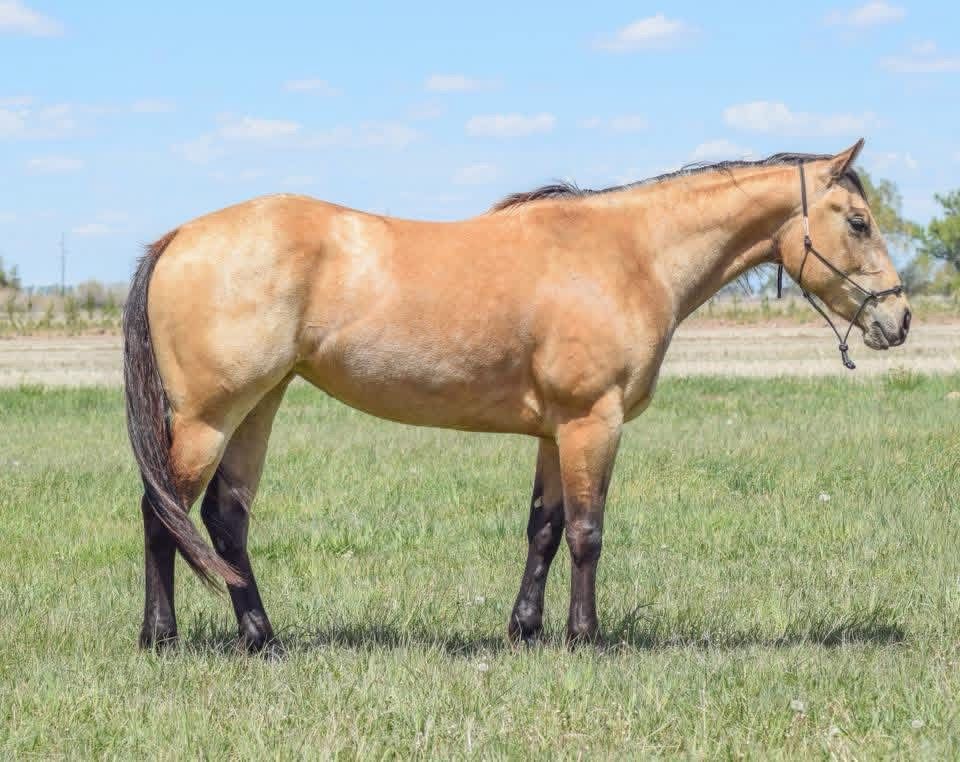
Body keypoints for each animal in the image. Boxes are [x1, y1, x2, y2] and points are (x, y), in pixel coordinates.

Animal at [124, 139, 911, 651]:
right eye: (858, 221)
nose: (898, 319)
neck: (629, 255)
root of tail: (179, 236)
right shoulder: (594, 422)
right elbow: (589, 532)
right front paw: (584, 638)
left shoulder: (554, 432)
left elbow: (545, 529)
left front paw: (525, 631)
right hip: (209, 416)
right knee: (165, 513)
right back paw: (161, 638)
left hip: (258, 406)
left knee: (224, 519)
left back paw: (264, 639)